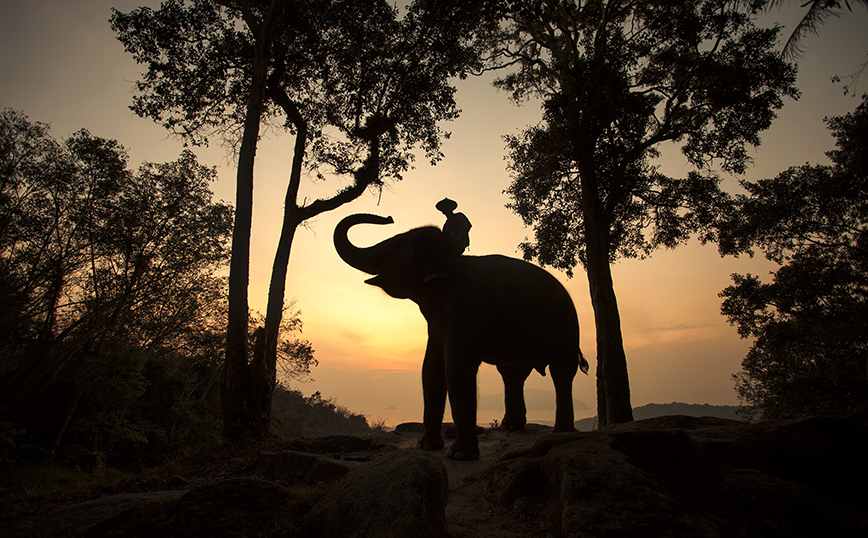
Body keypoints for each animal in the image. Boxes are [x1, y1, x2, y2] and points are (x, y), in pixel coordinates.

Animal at [332, 213, 588, 456]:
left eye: (396, 244)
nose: (388, 218)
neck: (454, 258)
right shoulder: (437, 324)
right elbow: (431, 368)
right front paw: (427, 446)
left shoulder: (466, 309)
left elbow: (457, 367)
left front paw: (459, 454)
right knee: (512, 374)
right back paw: (510, 427)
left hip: (567, 329)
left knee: (561, 373)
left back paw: (561, 432)